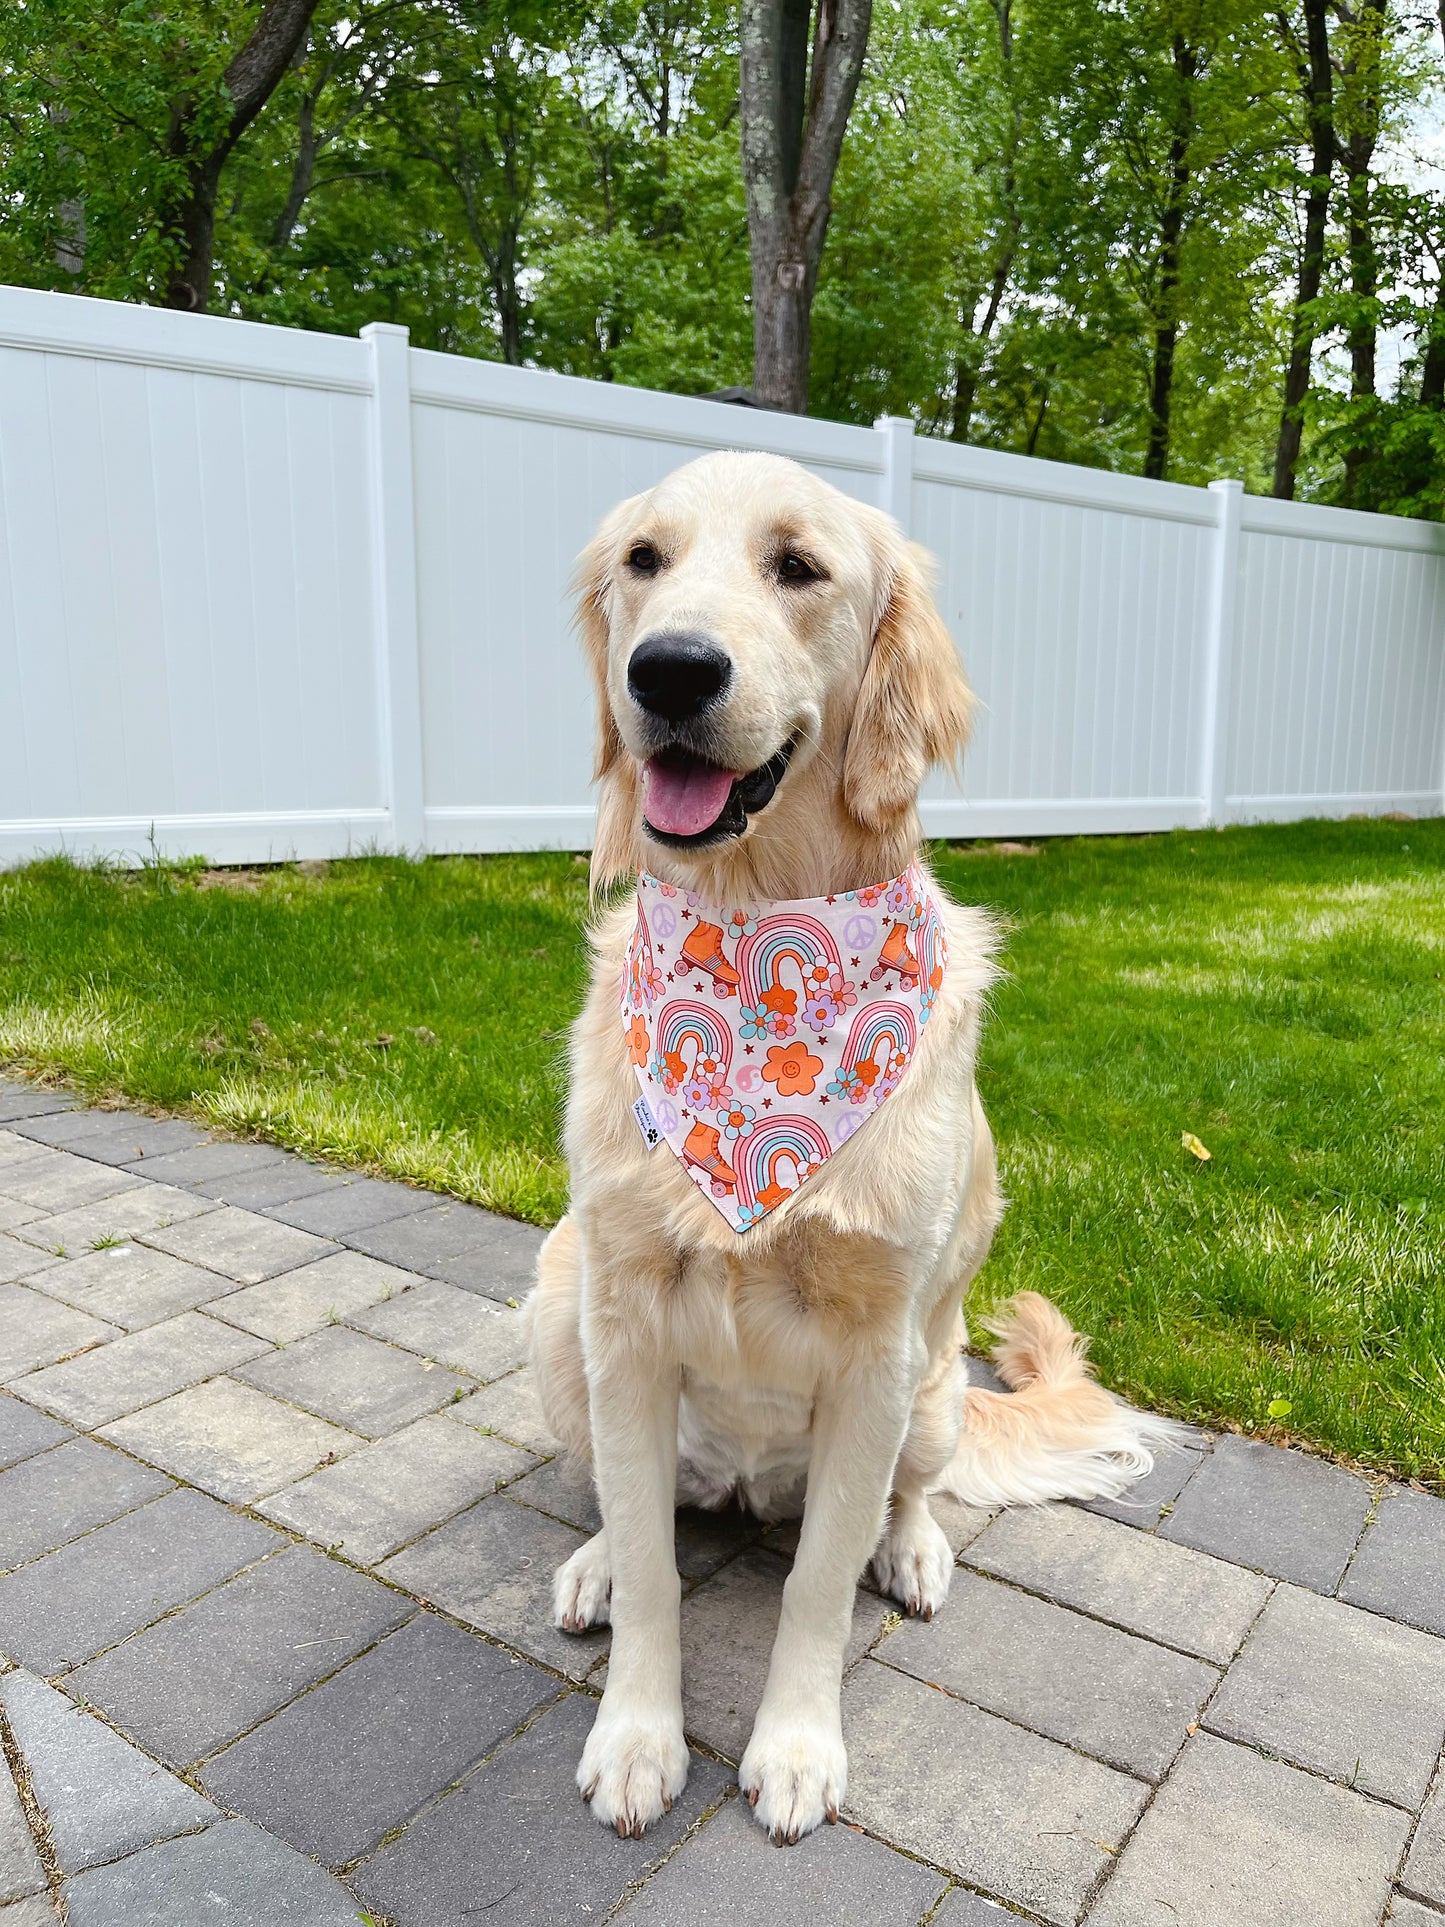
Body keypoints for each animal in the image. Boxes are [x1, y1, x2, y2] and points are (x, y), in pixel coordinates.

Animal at [527, 443, 1179, 1842]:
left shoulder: (877, 1350)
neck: (755, 944)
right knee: (624, 1495)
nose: (666, 671)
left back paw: (912, 1546)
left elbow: (813, 1587)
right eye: (642, 561)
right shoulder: (621, 1309)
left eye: (797, 566)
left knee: (905, 1494)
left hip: (932, 1384)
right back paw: (598, 1555)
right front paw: (636, 1735)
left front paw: (794, 1747)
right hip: (557, 1307)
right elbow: (656, 1572)